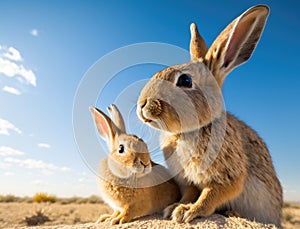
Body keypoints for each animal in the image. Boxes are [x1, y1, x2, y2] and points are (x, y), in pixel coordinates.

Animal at [137, 3, 282, 227]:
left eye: (185, 81)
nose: (142, 104)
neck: (187, 133)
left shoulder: (227, 177)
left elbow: (210, 195)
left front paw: (188, 212)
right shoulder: (187, 180)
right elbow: (190, 193)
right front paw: (175, 208)